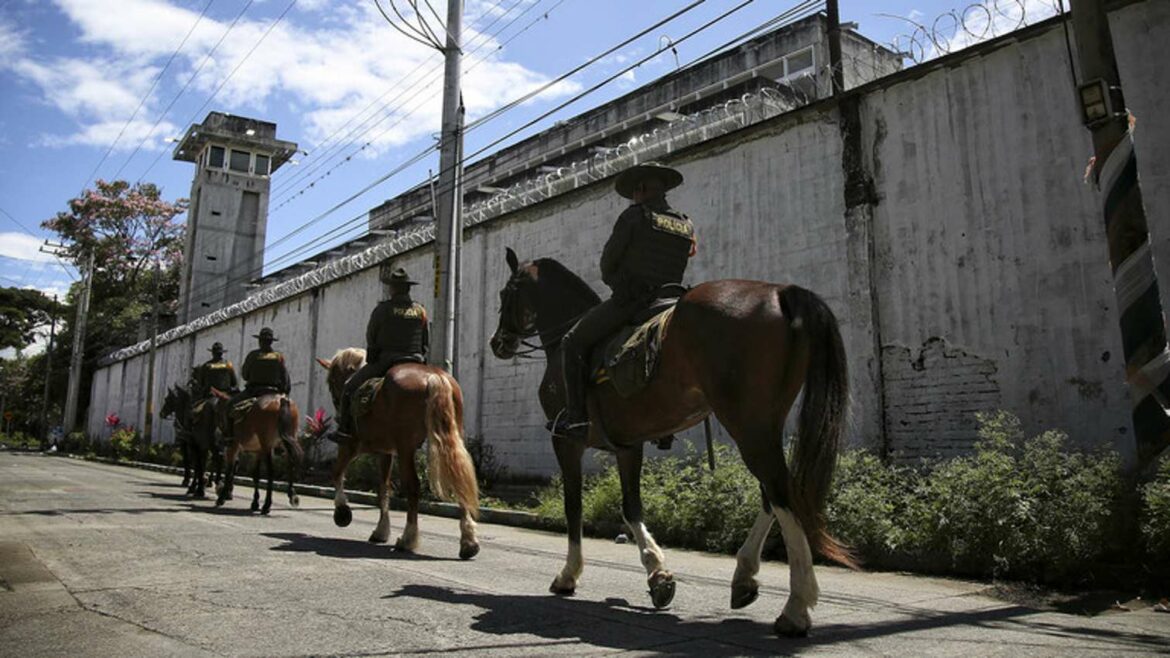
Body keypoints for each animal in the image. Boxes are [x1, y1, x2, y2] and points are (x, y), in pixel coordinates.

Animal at [210, 386, 304, 515]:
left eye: (216, 411)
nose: (219, 433)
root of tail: (281, 400)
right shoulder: (257, 451)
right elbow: (255, 475)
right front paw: (255, 502)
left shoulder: (233, 447)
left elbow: (229, 471)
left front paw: (222, 497)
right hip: (288, 440)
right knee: (290, 465)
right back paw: (292, 495)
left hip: (267, 444)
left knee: (271, 472)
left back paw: (267, 505)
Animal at [315, 346, 479, 554]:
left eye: (331, 383)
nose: (337, 412)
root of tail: (433, 376)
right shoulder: (386, 452)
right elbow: (383, 487)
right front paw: (381, 530)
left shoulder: (351, 446)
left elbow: (336, 473)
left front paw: (342, 512)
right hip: (450, 440)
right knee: (459, 478)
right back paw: (468, 542)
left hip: (405, 448)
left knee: (413, 486)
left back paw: (408, 538)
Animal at [489, 247, 856, 636]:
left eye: (505, 293)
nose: (498, 343)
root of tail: (780, 291)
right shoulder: (628, 445)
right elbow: (631, 507)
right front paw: (658, 575)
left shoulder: (566, 442)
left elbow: (573, 507)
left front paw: (569, 575)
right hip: (762, 425)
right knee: (772, 494)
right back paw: (744, 578)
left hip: (748, 425)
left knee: (780, 492)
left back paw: (796, 606)